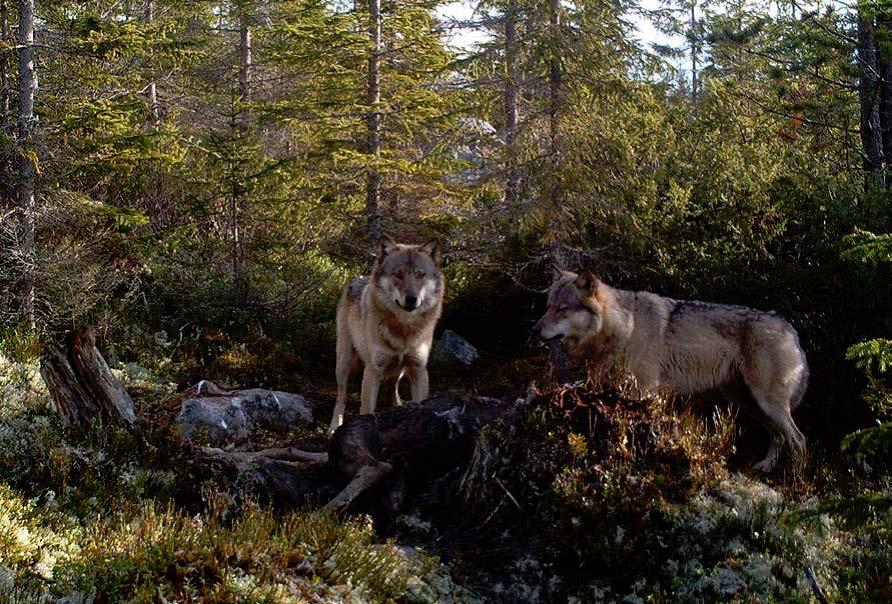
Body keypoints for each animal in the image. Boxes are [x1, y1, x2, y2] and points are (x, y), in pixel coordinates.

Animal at [328, 235, 446, 434]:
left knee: (393, 385)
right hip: (343, 363)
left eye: (420, 275)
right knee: (340, 397)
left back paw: (397, 405)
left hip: (400, 368)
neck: (404, 327)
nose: (411, 299)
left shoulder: (418, 369)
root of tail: (356, 280)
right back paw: (334, 427)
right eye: (397, 274)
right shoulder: (372, 370)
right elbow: (366, 410)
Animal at [532, 268, 812, 472]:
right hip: (749, 404)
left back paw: (795, 478)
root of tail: (790, 328)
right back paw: (766, 467)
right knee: (778, 437)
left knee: (798, 440)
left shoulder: (645, 392)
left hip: (766, 404)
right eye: (548, 307)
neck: (623, 327)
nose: (533, 330)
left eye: (561, 309)